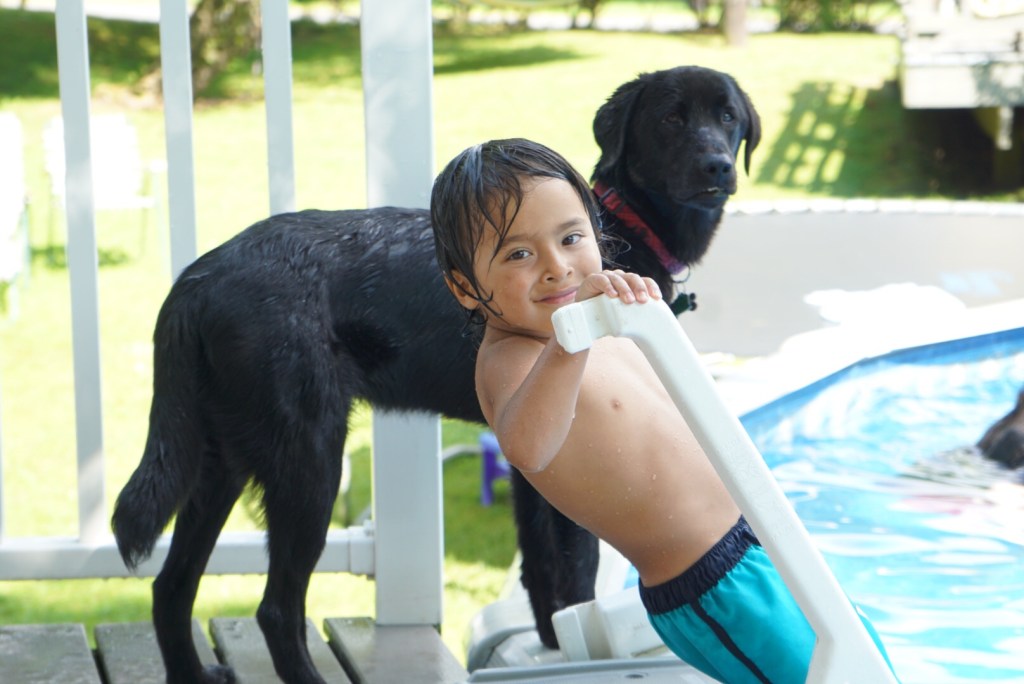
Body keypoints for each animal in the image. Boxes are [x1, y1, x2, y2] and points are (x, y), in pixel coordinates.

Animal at [111, 65, 760, 684]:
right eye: (671, 118)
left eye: (727, 117)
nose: (717, 165)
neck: (618, 223)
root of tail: (198, 279)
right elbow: (579, 574)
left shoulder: (529, 466)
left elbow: (540, 570)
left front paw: (551, 645)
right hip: (308, 463)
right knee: (275, 609)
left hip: (217, 463)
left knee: (170, 586)